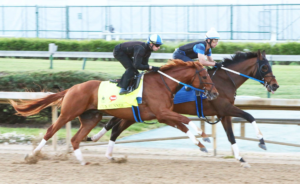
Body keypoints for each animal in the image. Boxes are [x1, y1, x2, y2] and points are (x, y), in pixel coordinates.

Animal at [9, 59, 218, 165]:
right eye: (205, 75)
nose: (215, 93)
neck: (163, 83)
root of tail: (71, 88)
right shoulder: (162, 113)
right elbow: (185, 121)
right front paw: (204, 136)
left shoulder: (163, 115)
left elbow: (183, 125)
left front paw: (202, 143)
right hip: (68, 113)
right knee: (51, 131)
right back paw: (31, 155)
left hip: (91, 118)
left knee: (76, 139)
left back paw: (83, 160)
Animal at [93, 50, 278, 167]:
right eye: (265, 67)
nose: (275, 85)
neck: (225, 80)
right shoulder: (225, 108)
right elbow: (250, 116)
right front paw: (262, 142)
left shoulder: (224, 113)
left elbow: (231, 136)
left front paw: (241, 159)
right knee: (114, 126)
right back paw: (97, 139)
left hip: (134, 114)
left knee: (115, 128)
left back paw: (103, 146)